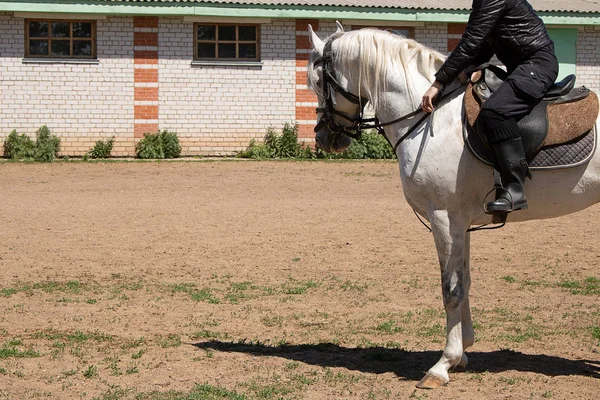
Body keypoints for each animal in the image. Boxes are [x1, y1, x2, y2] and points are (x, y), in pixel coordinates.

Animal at [308, 22, 596, 390]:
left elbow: (451, 289)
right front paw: (463, 352)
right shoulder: (461, 222)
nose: (323, 138)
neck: (433, 117)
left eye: (318, 82)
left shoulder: (443, 218)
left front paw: (443, 364)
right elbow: (465, 280)